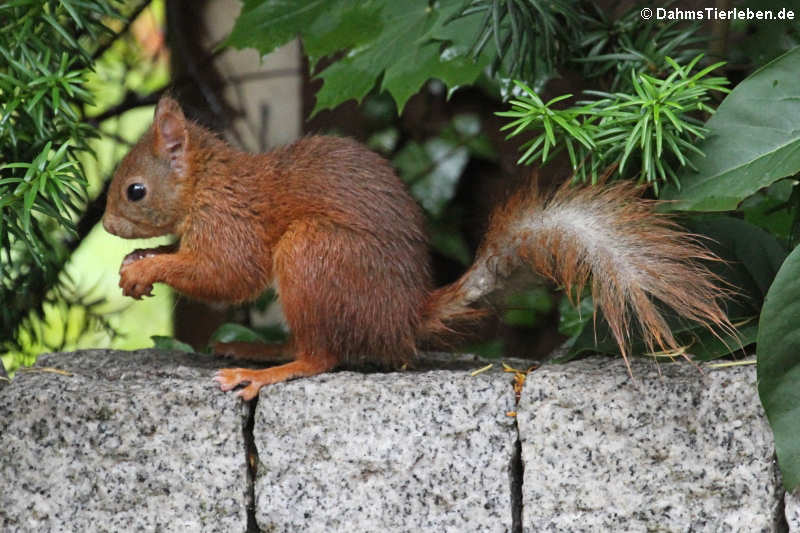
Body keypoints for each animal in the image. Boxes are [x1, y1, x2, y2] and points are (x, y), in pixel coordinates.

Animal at [101, 97, 736, 402]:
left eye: (135, 190)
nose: (105, 225)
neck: (207, 182)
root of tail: (403, 319)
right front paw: (137, 263)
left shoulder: (231, 223)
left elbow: (227, 273)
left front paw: (149, 267)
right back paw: (259, 349)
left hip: (313, 255)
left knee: (322, 356)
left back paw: (268, 371)